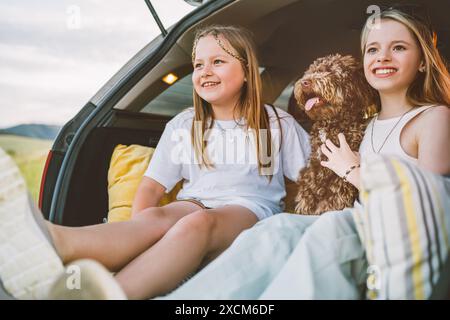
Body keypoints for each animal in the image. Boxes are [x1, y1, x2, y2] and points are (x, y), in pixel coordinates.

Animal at [294, 54, 374, 215]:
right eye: (312, 71)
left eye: (330, 71)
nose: (305, 82)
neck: (331, 123)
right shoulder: (313, 166)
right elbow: (308, 187)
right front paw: (305, 204)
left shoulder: (339, 180)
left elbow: (336, 194)